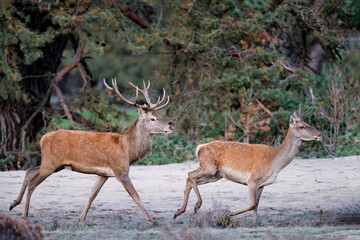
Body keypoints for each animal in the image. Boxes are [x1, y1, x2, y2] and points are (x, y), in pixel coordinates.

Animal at [10, 78, 174, 224]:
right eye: (152, 118)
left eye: (158, 115)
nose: (171, 127)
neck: (128, 150)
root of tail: (43, 138)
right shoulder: (120, 170)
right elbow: (136, 196)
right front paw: (151, 220)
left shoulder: (103, 174)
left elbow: (92, 195)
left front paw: (82, 219)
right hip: (50, 163)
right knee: (32, 183)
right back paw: (24, 216)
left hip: (54, 164)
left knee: (29, 171)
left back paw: (13, 203)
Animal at [173, 111, 322, 224]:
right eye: (302, 126)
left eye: (308, 124)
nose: (320, 134)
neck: (275, 161)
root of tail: (199, 148)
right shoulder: (252, 179)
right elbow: (252, 204)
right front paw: (227, 214)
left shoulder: (262, 184)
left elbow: (256, 205)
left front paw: (255, 223)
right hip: (208, 166)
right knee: (190, 174)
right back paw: (197, 205)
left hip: (216, 174)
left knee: (191, 179)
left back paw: (179, 211)